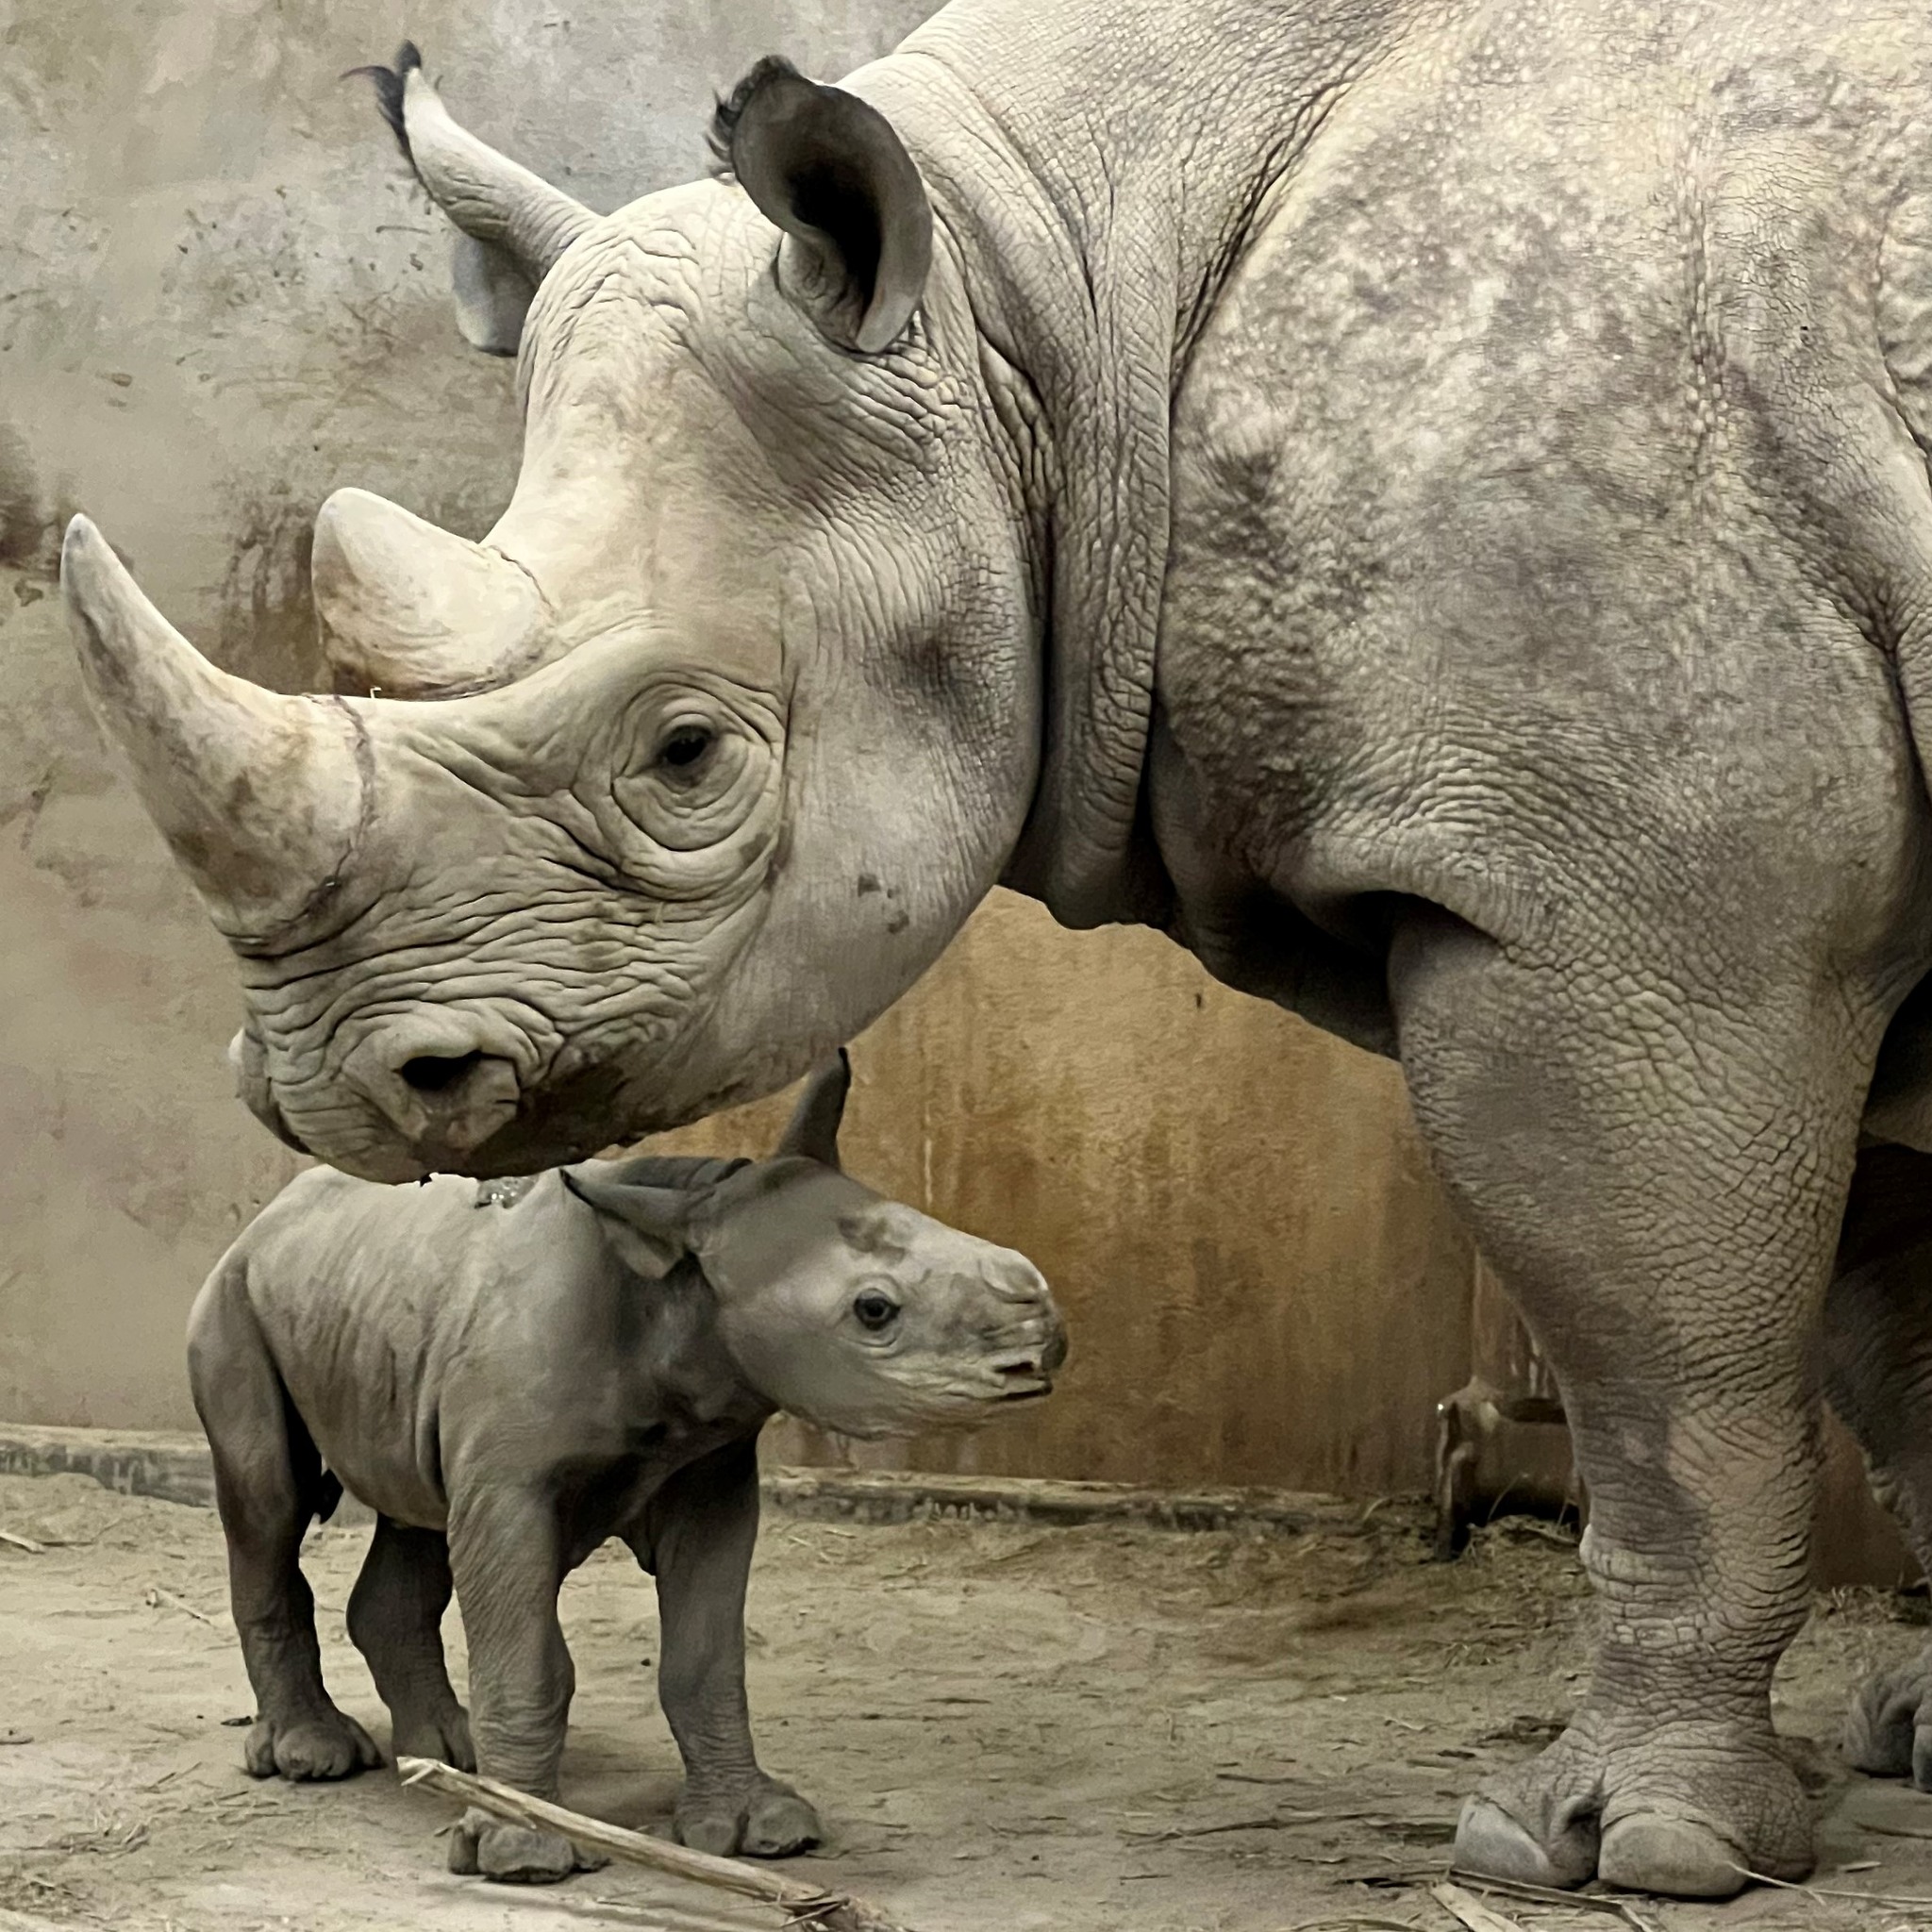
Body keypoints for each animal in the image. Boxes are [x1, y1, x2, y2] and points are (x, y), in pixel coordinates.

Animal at [189, 1051, 1065, 1880]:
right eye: (874, 1311)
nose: (1044, 1346)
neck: (680, 1275)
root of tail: (265, 1218)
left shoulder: (709, 1470)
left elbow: (706, 1658)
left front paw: (758, 1834)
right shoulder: (511, 1485)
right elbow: (530, 1658)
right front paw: (523, 1855)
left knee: (415, 1515)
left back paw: (448, 1761)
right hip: (233, 1296)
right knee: (269, 1502)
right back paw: (318, 1759)